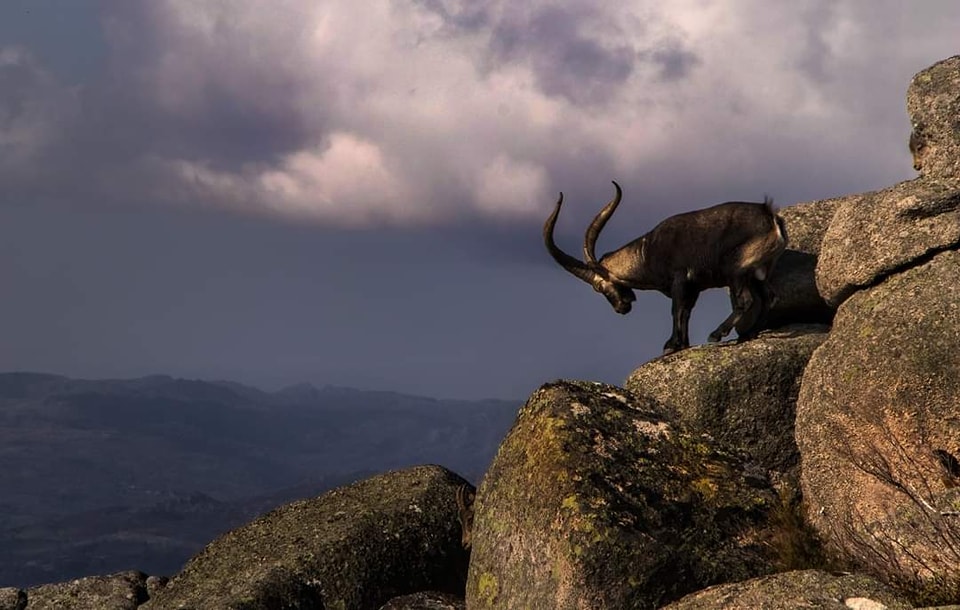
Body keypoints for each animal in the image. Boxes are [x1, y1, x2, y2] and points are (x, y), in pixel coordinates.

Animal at [544, 181, 787, 354]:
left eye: (599, 287)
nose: (621, 307)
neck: (647, 251)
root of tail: (770, 216)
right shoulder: (693, 288)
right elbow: (686, 312)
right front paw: (683, 344)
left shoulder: (680, 279)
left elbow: (676, 309)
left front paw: (671, 345)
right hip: (759, 273)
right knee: (769, 297)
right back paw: (750, 333)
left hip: (736, 270)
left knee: (745, 300)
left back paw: (717, 334)